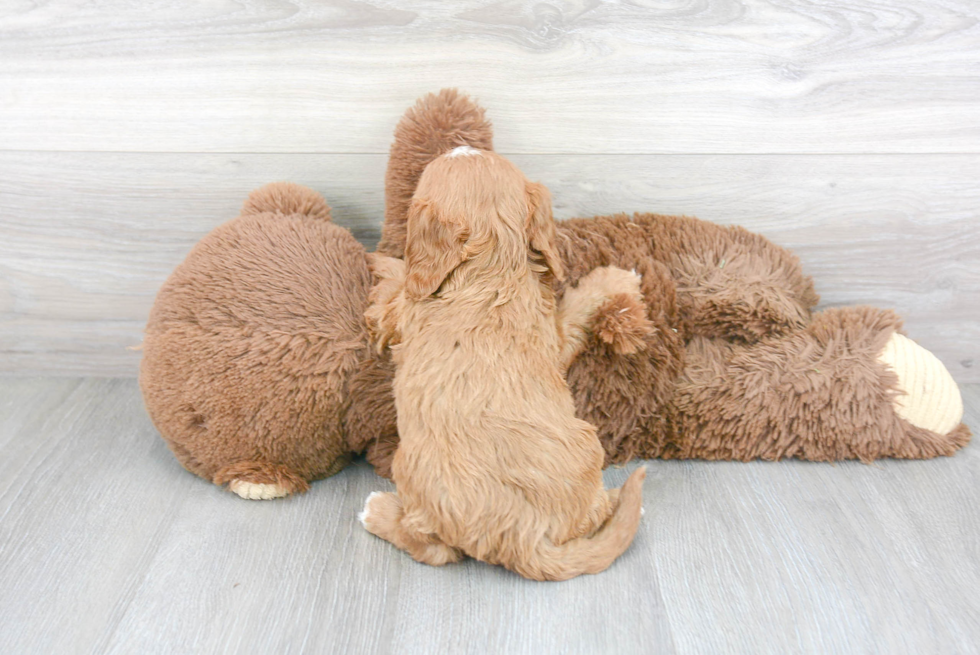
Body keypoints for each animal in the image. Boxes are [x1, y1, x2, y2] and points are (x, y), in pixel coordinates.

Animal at [356, 146, 648, 580]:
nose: (458, 144)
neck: (492, 268)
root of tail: (525, 538)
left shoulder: (406, 307)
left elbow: (397, 282)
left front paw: (380, 260)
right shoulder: (550, 334)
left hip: (410, 467)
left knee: (434, 549)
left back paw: (375, 511)